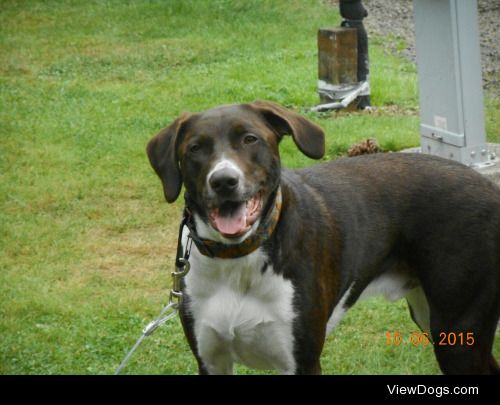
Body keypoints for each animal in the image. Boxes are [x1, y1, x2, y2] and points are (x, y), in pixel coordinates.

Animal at [146, 100, 500, 372]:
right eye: (195, 148)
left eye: (249, 139)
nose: (223, 181)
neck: (239, 260)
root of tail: (491, 189)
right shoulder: (211, 360)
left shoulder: (302, 360)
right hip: (435, 318)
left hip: (457, 333)